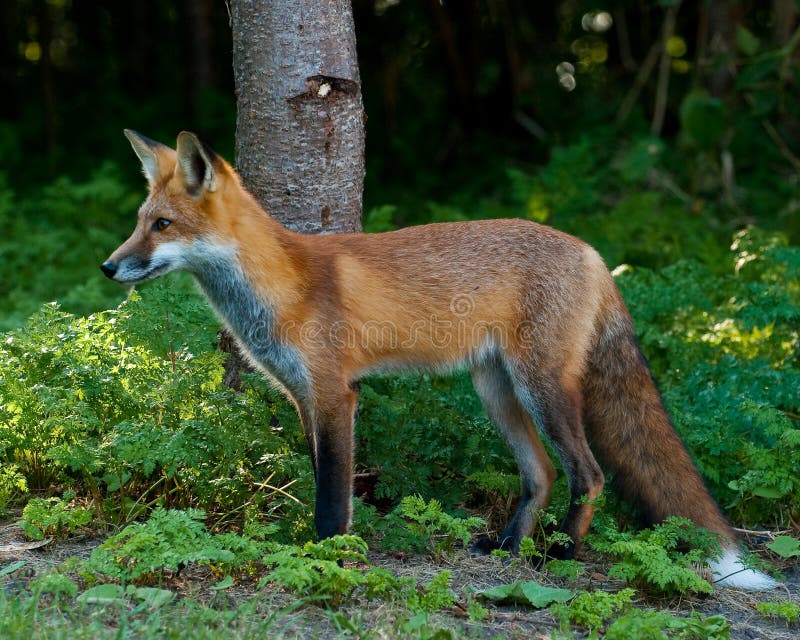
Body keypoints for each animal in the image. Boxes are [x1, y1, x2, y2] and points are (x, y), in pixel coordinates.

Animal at [101, 130, 776, 592]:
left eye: (163, 225)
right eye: (139, 223)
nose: (108, 267)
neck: (280, 287)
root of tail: (592, 252)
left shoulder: (336, 394)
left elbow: (332, 497)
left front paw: (328, 557)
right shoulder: (304, 397)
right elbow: (323, 479)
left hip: (541, 388)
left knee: (588, 473)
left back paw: (561, 553)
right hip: (495, 391)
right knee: (541, 474)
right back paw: (507, 549)